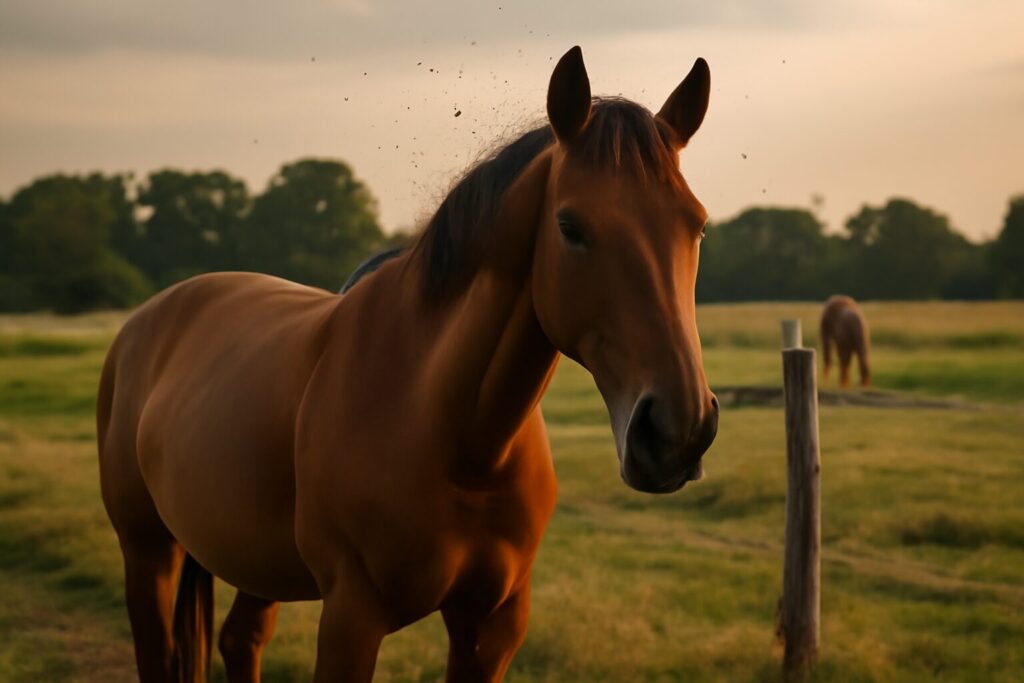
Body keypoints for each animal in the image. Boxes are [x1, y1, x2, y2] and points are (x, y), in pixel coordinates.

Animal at [97, 46, 719, 683]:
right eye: (570, 226)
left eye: (696, 225)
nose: (679, 430)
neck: (455, 433)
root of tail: (149, 320)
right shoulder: (351, 617)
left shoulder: (491, 626)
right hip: (147, 553)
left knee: (240, 638)